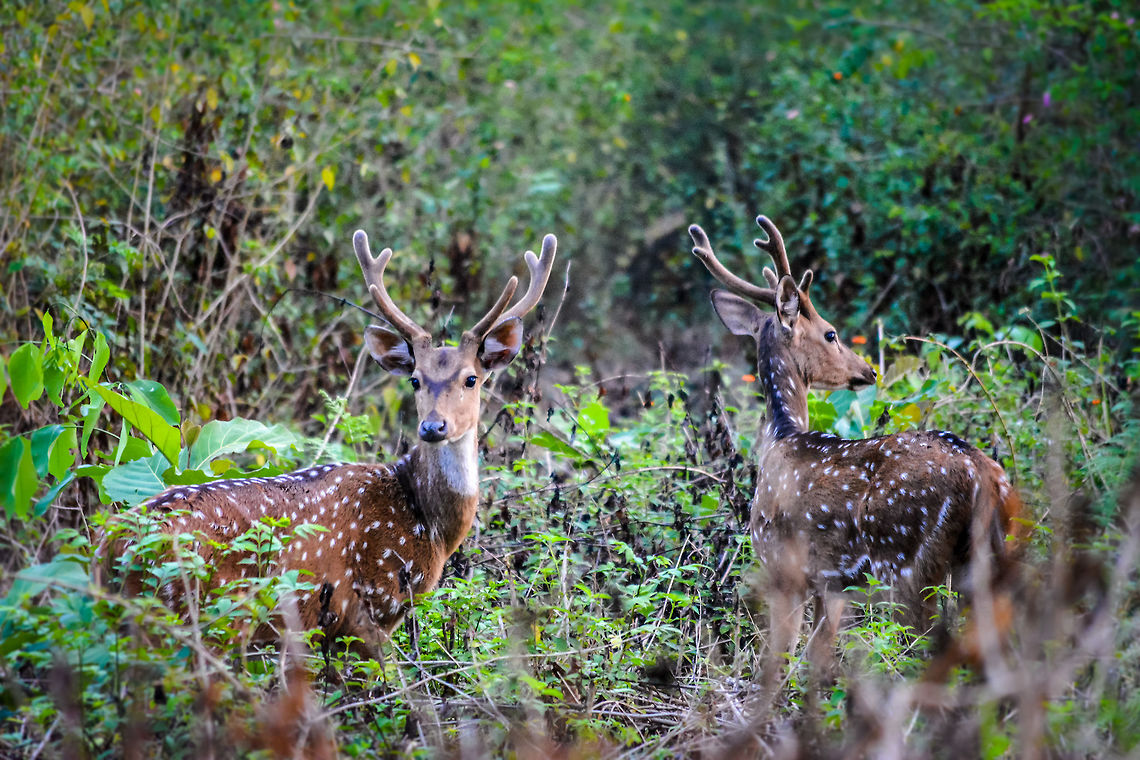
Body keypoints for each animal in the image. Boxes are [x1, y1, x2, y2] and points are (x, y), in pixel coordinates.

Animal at [109, 228, 557, 656]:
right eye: (415, 380)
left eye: (471, 378)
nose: (433, 427)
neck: (428, 525)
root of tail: (108, 547)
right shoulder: (369, 605)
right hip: (201, 610)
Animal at [688, 213, 1021, 677]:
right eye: (831, 334)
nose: (868, 371)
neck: (781, 437)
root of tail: (984, 474)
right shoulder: (827, 586)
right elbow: (815, 656)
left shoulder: (782, 567)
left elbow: (779, 659)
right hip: (983, 555)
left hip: (905, 560)